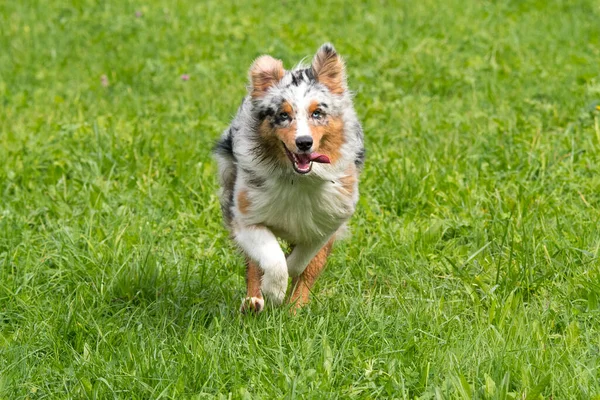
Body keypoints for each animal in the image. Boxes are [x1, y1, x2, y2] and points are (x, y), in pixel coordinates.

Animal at [216, 43, 366, 312]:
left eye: (317, 113)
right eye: (283, 115)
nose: (304, 142)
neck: (298, 180)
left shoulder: (329, 220)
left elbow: (301, 261)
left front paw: (288, 280)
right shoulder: (246, 216)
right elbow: (272, 259)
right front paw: (273, 291)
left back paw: (294, 311)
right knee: (254, 266)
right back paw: (254, 302)